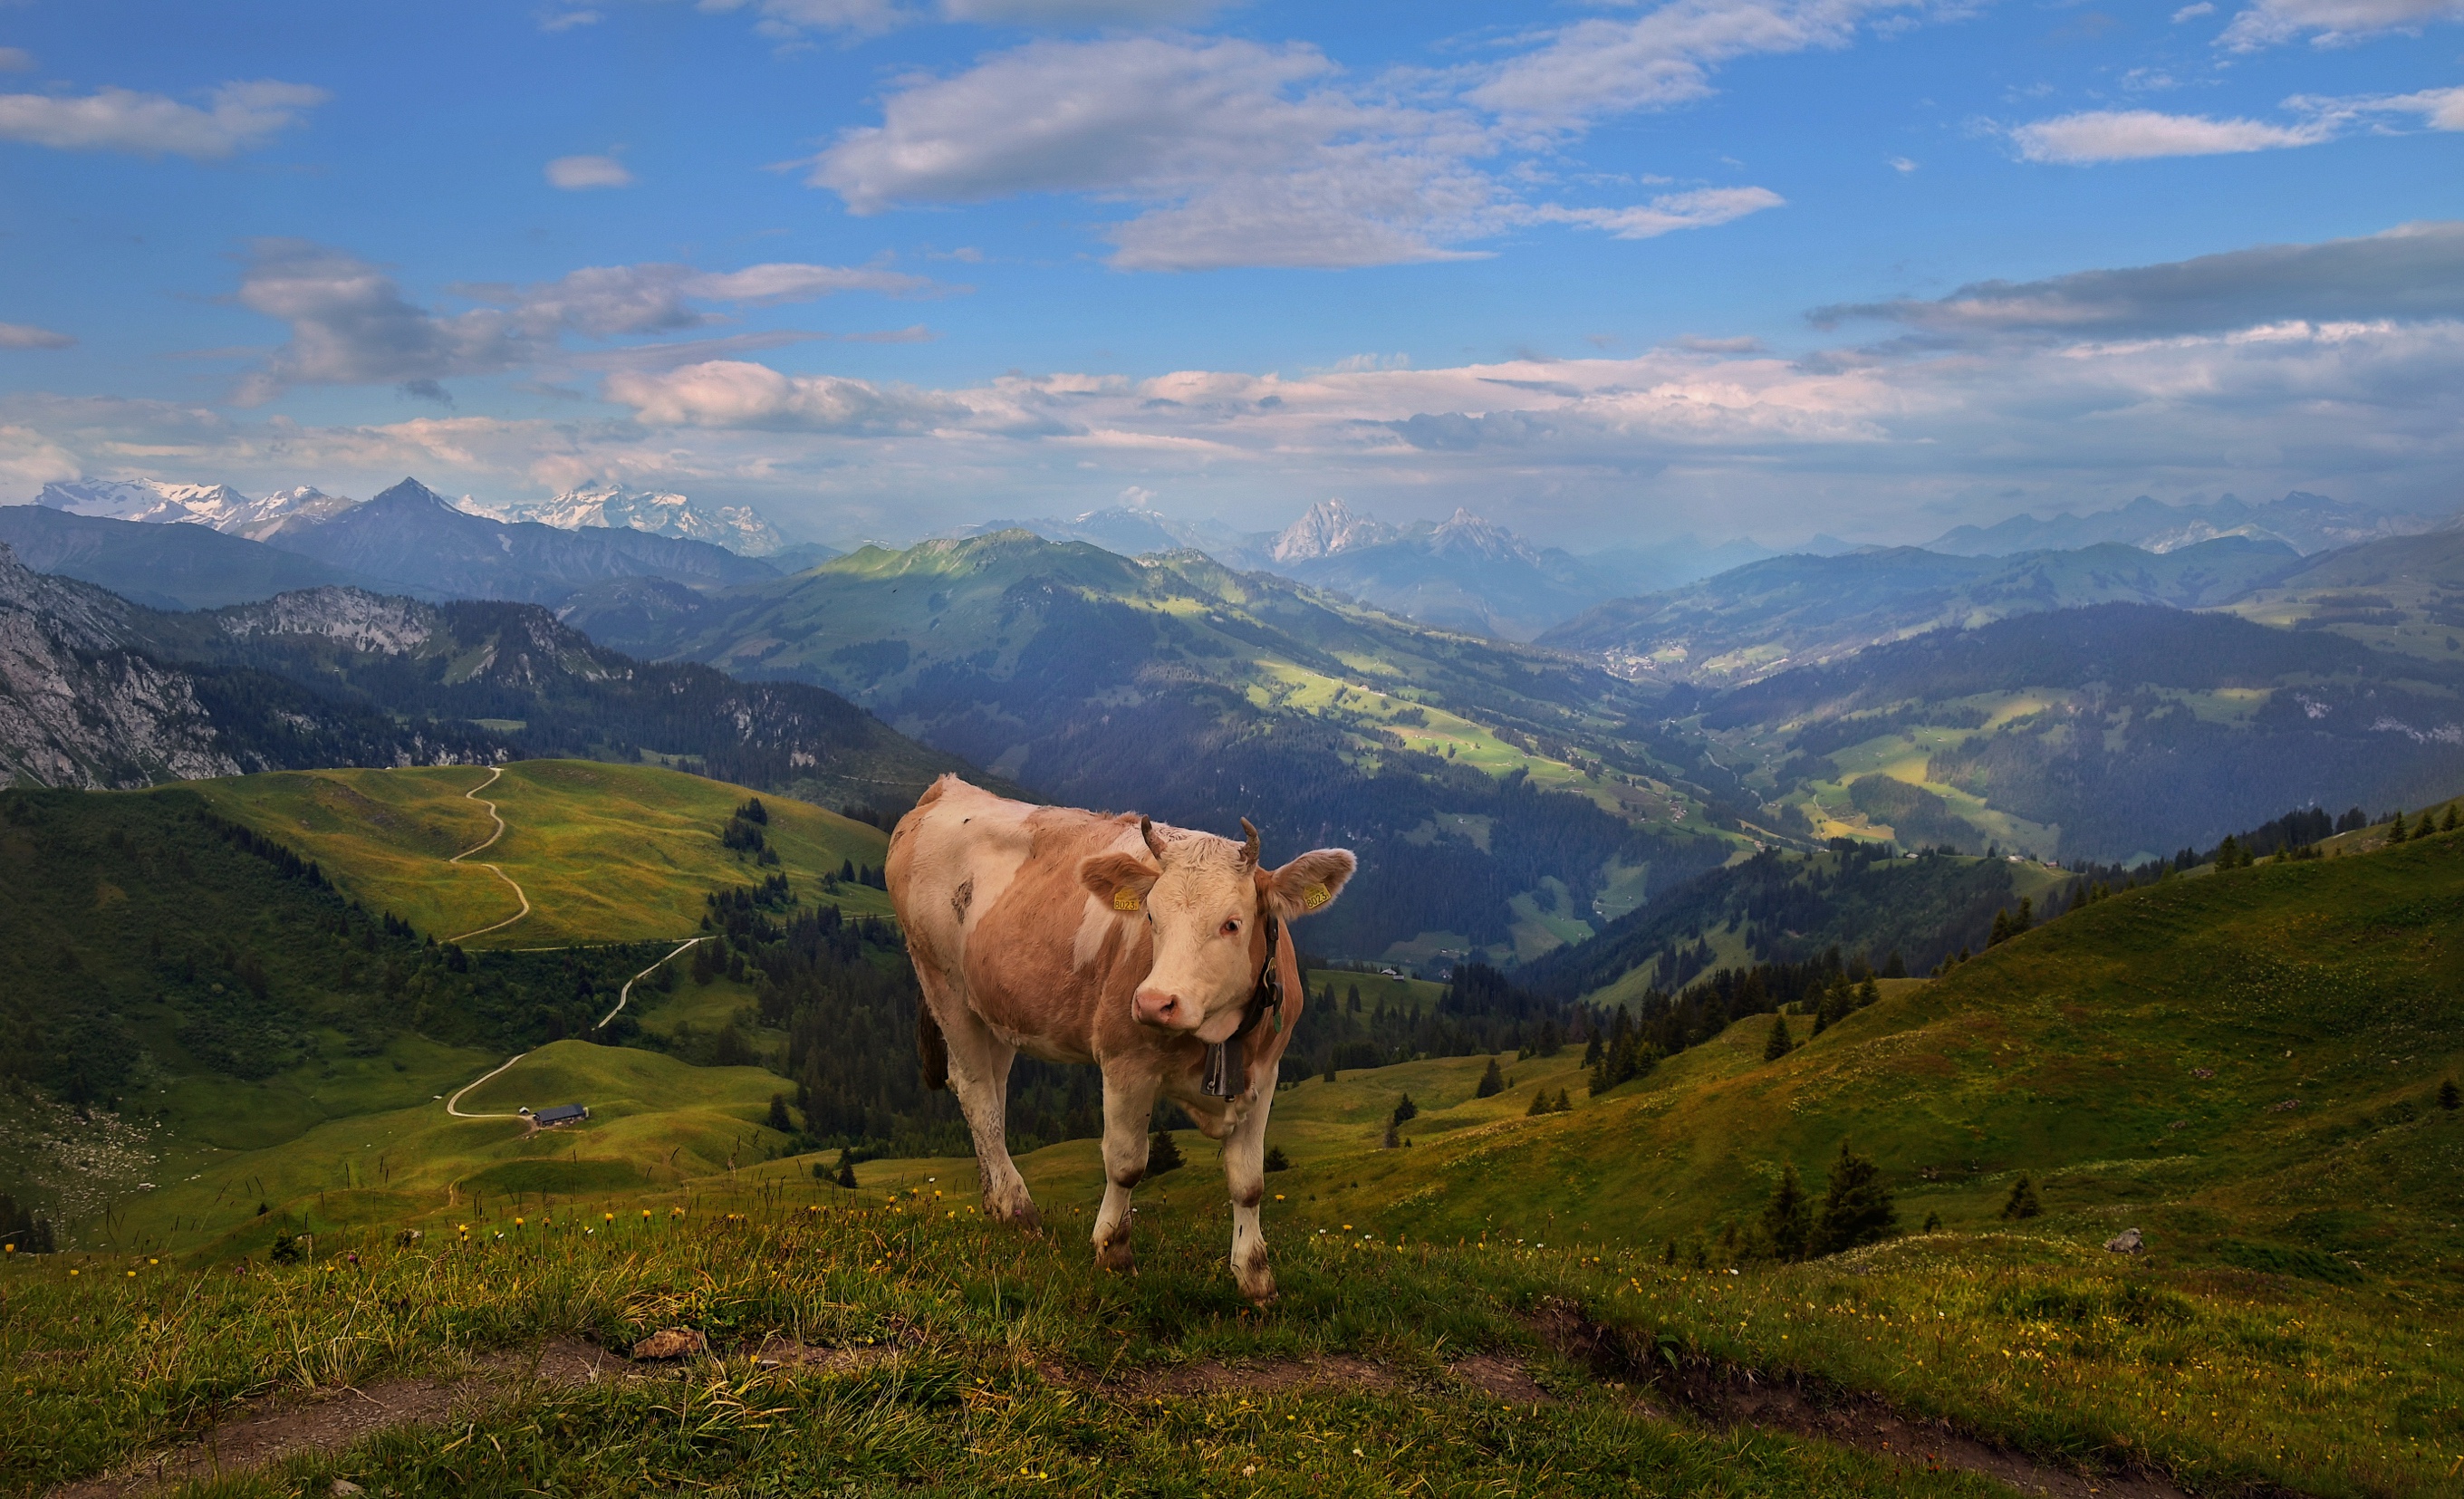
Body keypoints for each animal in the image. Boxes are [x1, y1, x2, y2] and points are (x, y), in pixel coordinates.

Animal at [885, 774, 1354, 1302]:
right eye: (1150, 918)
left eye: (1232, 922)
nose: (1154, 1002)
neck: (1218, 1034)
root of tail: (947, 789)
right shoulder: (1125, 1062)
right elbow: (1127, 1163)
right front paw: (1113, 1253)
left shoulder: (1266, 1073)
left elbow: (1249, 1182)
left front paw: (1256, 1278)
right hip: (942, 982)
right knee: (976, 1091)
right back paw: (1017, 1209)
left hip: (995, 1007)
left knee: (994, 1095)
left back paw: (996, 1202)